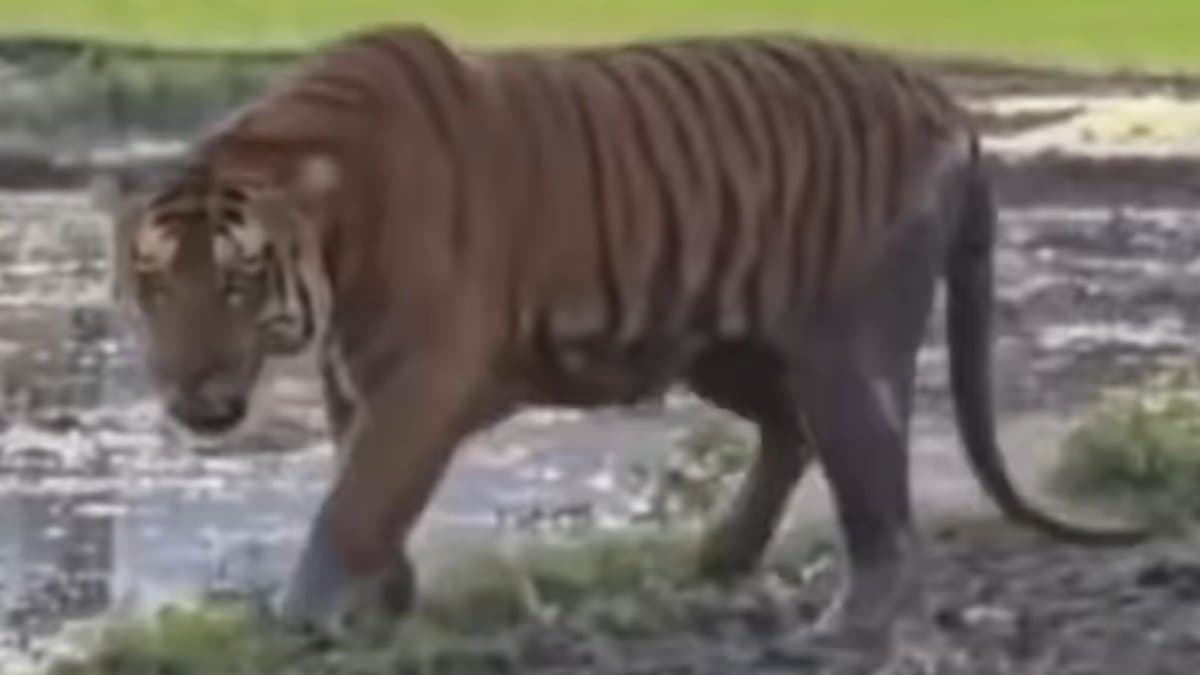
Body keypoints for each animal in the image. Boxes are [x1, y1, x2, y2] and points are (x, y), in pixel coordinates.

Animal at [94, 23, 1147, 663]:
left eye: (237, 284)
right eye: (157, 285)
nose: (193, 395)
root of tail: (948, 105)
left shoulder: (424, 375)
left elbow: (357, 498)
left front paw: (304, 618)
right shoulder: (352, 374)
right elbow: (366, 488)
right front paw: (384, 606)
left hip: (842, 352)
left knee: (876, 491)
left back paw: (845, 624)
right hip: (729, 348)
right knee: (791, 434)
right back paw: (722, 554)